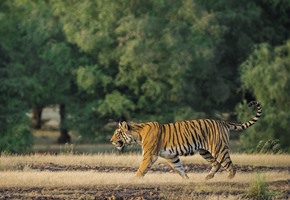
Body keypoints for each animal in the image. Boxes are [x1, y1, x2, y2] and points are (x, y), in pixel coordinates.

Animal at [110, 101, 262, 180]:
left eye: (117, 133)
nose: (111, 140)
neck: (137, 134)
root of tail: (223, 122)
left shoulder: (149, 154)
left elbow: (142, 168)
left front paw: (134, 179)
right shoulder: (171, 156)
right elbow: (179, 168)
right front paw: (187, 180)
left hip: (218, 148)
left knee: (229, 164)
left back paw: (229, 178)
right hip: (205, 151)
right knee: (217, 164)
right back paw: (208, 177)